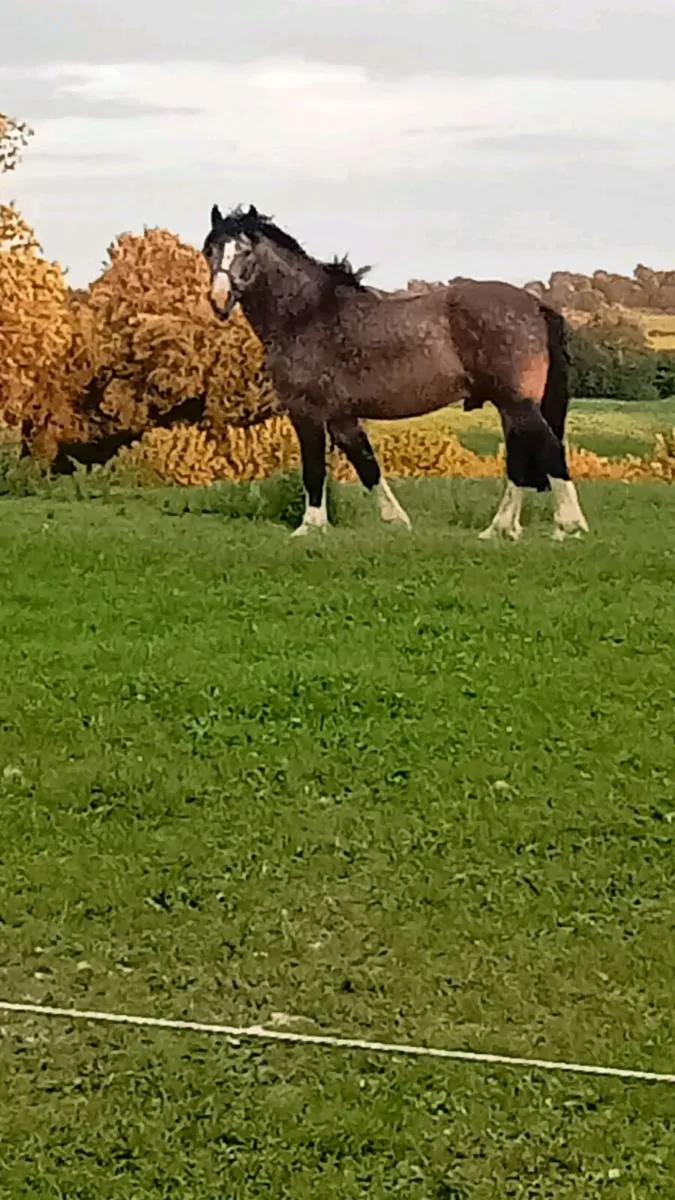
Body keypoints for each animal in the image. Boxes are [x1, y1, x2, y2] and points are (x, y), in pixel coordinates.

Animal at [202, 204, 589, 542]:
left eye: (245, 251)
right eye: (210, 250)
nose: (219, 300)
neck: (307, 315)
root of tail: (536, 306)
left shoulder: (306, 412)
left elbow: (314, 469)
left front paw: (309, 527)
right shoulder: (342, 417)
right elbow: (367, 464)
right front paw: (396, 521)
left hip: (517, 402)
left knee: (549, 450)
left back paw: (568, 526)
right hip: (510, 407)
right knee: (521, 460)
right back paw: (499, 529)